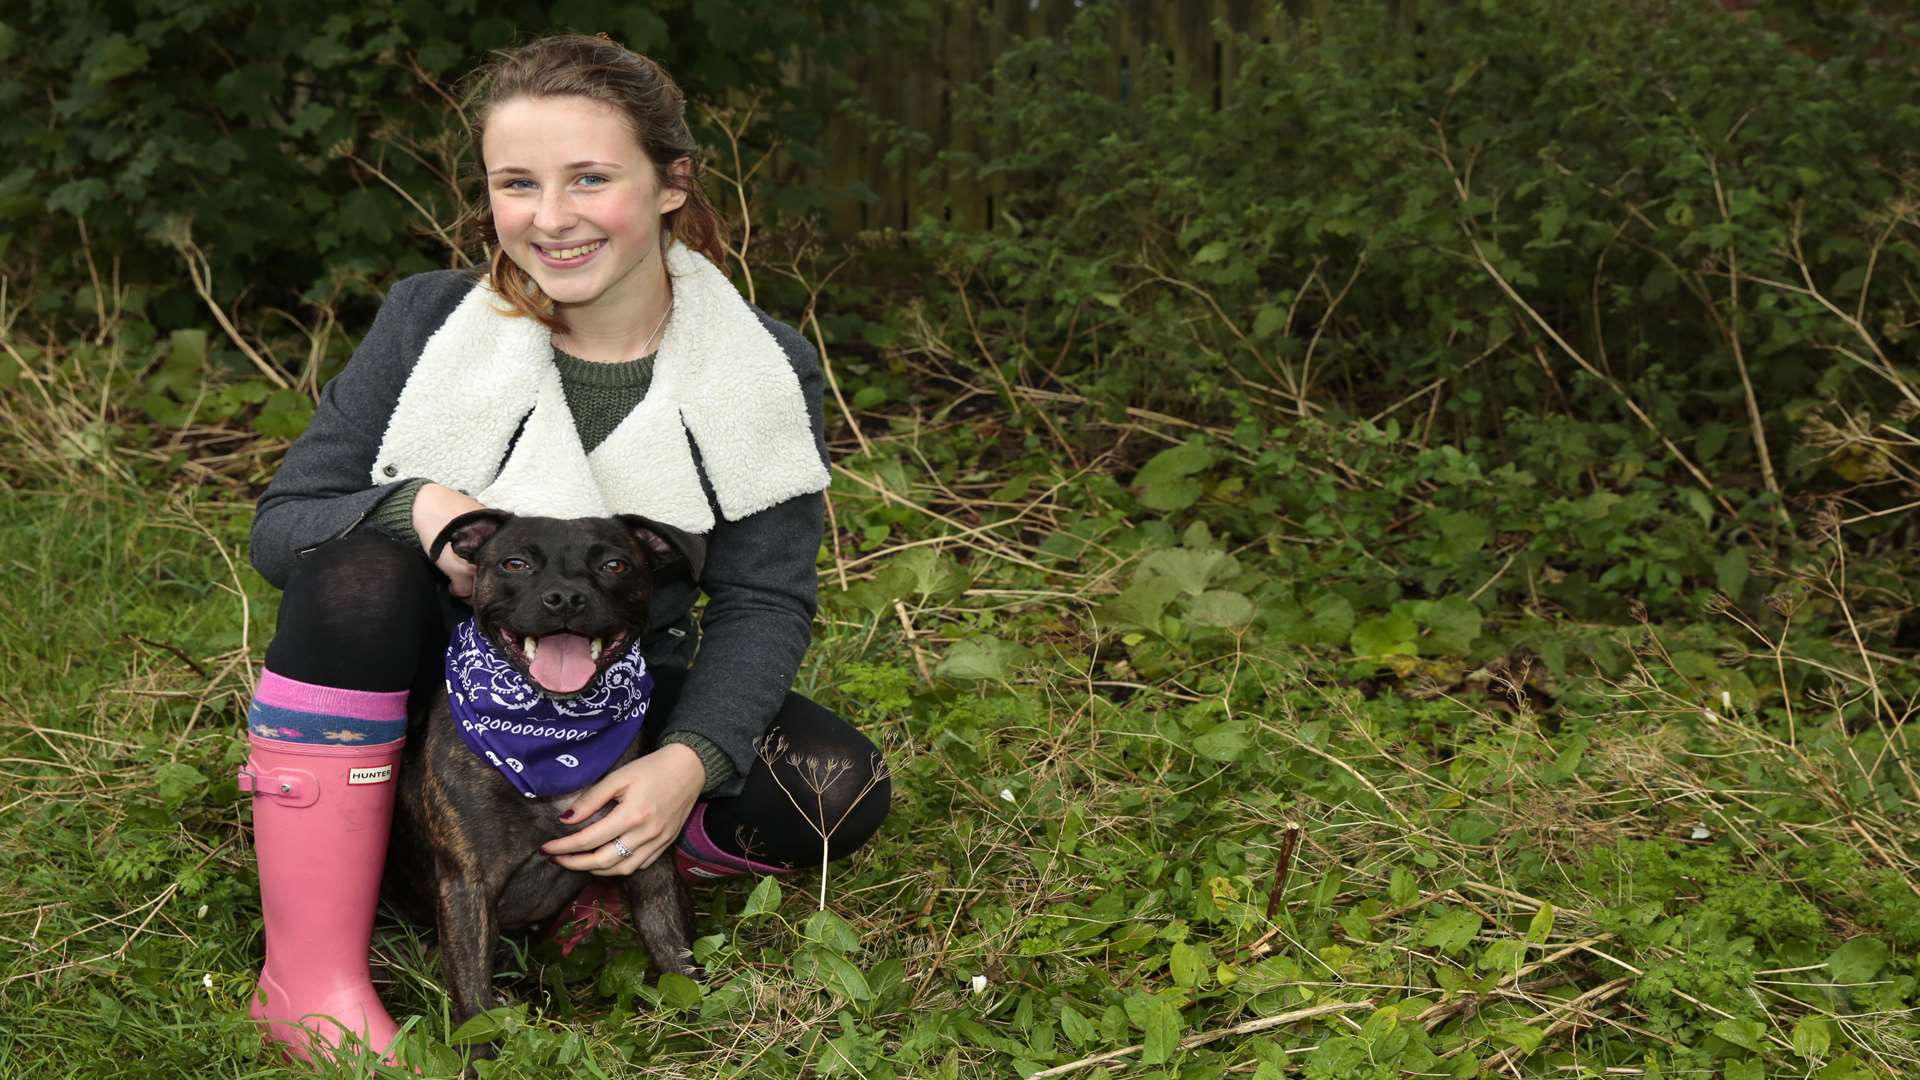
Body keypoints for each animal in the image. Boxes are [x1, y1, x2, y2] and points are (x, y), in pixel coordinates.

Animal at [380, 507, 706, 1037]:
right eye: (515, 563)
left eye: (615, 565)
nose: (566, 597)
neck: (554, 733)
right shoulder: (467, 882)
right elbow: (474, 998)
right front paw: (481, 1049)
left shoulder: (648, 861)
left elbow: (673, 948)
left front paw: (699, 1022)